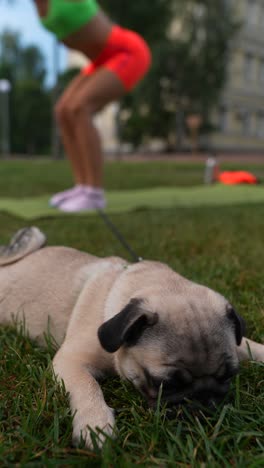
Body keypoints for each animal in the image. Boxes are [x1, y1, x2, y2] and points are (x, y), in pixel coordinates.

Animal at [0, 229, 262, 448]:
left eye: (228, 376)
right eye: (165, 384)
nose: (205, 400)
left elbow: (250, 346)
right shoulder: (70, 361)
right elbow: (87, 385)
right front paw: (95, 425)